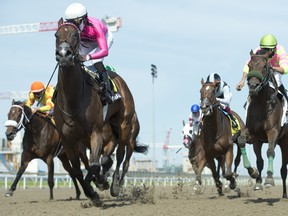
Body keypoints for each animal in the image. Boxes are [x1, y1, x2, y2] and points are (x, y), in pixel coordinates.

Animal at [53, 18, 144, 201]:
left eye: (75, 35)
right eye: (56, 35)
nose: (64, 55)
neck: (72, 100)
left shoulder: (96, 132)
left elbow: (96, 164)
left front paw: (101, 183)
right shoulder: (68, 139)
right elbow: (78, 169)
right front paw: (91, 191)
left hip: (125, 126)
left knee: (122, 157)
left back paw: (115, 185)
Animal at [237, 50, 288, 197]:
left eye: (265, 66)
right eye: (249, 65)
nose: (253, 86)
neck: (261, 106)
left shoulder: (273, 132)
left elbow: (270, 151)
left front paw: (269, 179)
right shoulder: (254, 135)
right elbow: (242, 142)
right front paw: (254, 174)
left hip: (284, 141)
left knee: (284, 169)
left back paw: (284, 194)